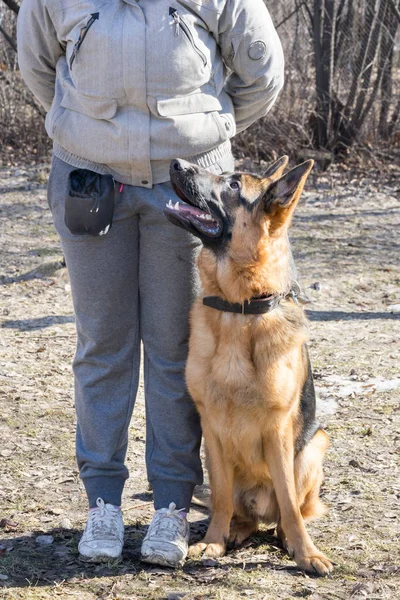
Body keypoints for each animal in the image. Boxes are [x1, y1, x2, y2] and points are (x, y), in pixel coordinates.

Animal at [164, 156, 332, 576]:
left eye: (234, 185)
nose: (175, 162)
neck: (237, 309)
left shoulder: (278, 430)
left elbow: (289, 501)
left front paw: (306, 552)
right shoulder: (211, 428)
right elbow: (223, 497)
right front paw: (213, 541)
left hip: (314, 446)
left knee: (288, 511)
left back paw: (286, 536)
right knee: (243, 512)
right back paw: (237, 530)